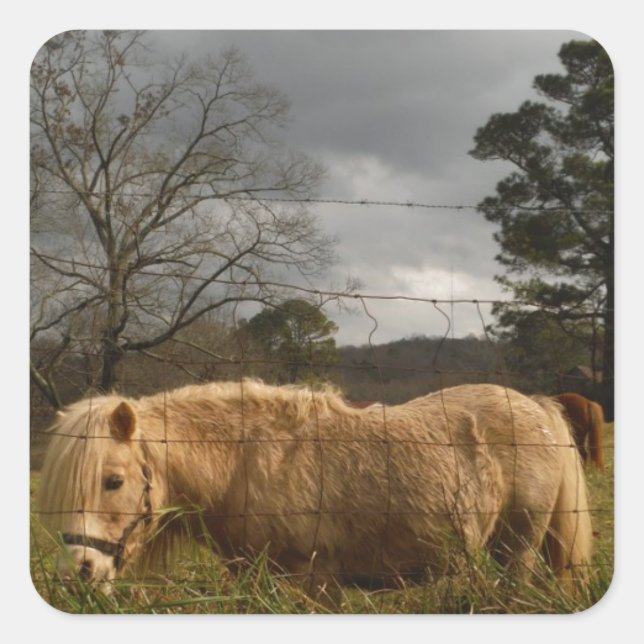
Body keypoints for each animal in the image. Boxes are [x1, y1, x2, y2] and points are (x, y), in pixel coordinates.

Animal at [37, 380, 592, 602]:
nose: (77, 575)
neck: (244, 461)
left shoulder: (318, 583)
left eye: (113, 481)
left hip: (517, 552)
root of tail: (538, 408)